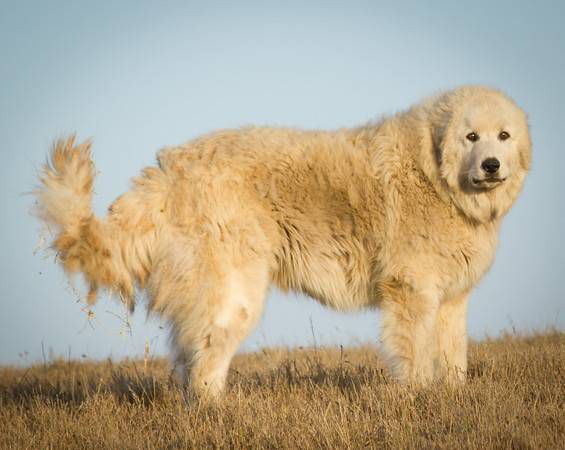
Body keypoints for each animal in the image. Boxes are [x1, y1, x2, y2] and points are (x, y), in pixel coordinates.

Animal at [34, 84, 528, 398]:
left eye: (503, 136)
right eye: (471, 136)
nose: (490, 165)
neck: (435, 175)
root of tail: (170, 169)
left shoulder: (451, 298)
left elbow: (454, 357)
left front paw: (452, 399)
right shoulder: (411, 292)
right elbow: (417, 357)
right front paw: (420, 401)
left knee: (190, 360)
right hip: (236, 292)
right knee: (207, 361)